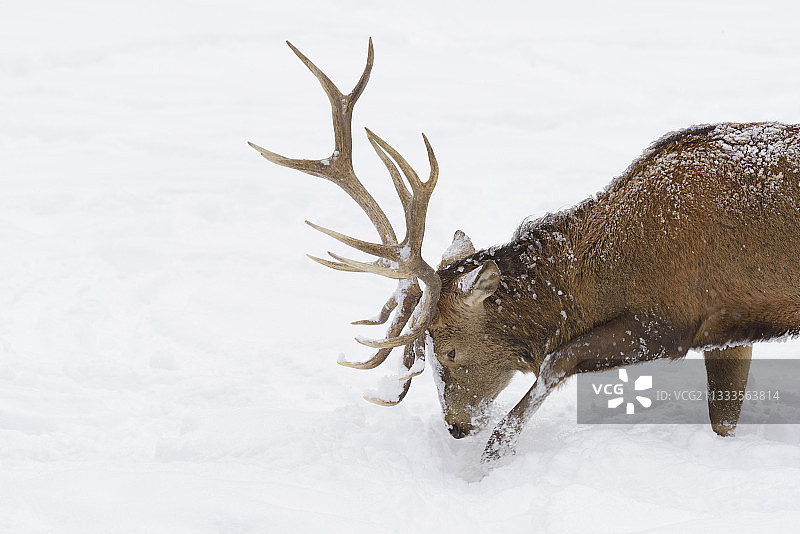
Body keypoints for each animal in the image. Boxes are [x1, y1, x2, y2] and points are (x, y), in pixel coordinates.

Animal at [250, 39, 800, 463]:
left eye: (447, 350)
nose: (456, 427)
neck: (607, 273)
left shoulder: (673, 314)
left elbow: (557, 359)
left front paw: (493, 457)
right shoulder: (728, 325)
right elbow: (724, 418)